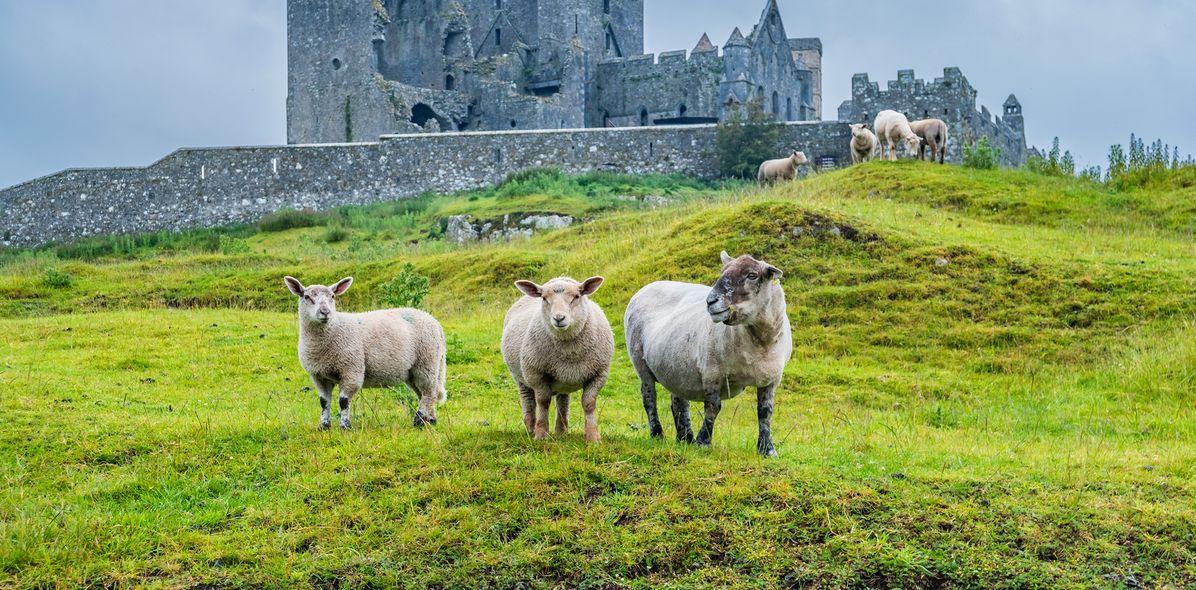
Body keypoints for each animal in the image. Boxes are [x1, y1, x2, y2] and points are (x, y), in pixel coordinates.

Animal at [283, 276, 447, 430]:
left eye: (333, 296)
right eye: (306, 297)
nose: (325, 312)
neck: (334, 328)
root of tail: (434, 321)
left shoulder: (351, 370)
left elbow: (343, 401)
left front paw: (345, 426)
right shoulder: (318, 376)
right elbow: (324, 402)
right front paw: (323, 426)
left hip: (427, 363)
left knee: (429, 393)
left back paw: (419, 421)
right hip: (414, 371)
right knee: (423, 394)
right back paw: (430, 420)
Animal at [501, 276, 614, 442]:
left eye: (576, 296)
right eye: (544, 298)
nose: (559, 318)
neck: (570, 351)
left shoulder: (599, 374)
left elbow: (589, 403)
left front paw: (593, 437)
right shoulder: (536, 375)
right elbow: (543, 402)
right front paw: (541, 435)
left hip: (564, 380)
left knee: (563, 401)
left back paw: (561, 431)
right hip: (520, 376)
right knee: (529, 401)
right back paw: (530, 429)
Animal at [624, 252, 793, 456]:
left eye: (752, 275)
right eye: (722, 272)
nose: (710, 301)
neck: (759, 343)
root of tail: (649, 285)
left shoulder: (771, 379)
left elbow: (765, 412)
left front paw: (767, 449)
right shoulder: (712, 372)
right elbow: (713, 407)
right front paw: (703, 442)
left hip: (676, 367)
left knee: (678, 402)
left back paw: (685, 438)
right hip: (640, 363)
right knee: (649, 399)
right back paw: (658, 434)